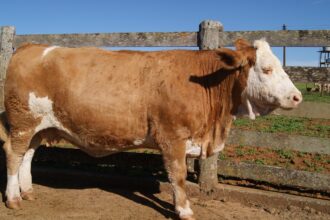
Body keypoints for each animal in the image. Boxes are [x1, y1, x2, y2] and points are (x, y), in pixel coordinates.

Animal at [1, 38, 302, 219]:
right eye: (267, 69)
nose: (297, 96)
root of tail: (31, 46)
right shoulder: (173, 138)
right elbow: (178, 176)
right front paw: (184, 210)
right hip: (22, 122)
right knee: (14, 155)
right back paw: (13, 198)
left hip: (39, 127)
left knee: (28, 155)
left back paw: (28, 192)